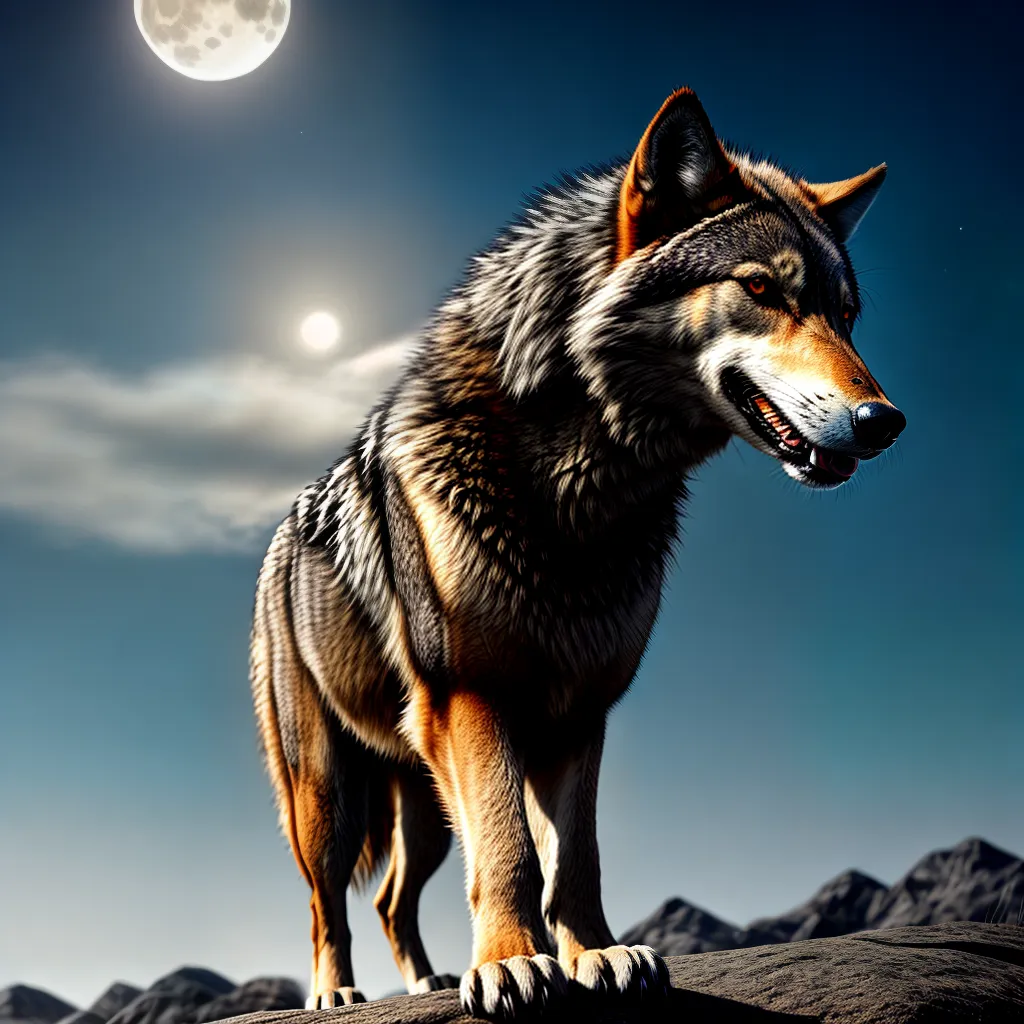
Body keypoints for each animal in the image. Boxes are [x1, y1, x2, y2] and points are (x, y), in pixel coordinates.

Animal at [250, 87, 904, 1021]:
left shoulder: (580, 711)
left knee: (391, 898)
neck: (581, 492)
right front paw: (512, 964)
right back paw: (337, 992)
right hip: (330, 795)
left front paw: (595, 953)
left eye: (847, 315)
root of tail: (281, 531)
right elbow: (511, 848)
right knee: (326, 901)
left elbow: (576, 857)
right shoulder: (476, 700)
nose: (886, 422)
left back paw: (424, 980)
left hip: (421, 794)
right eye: (760, 288)